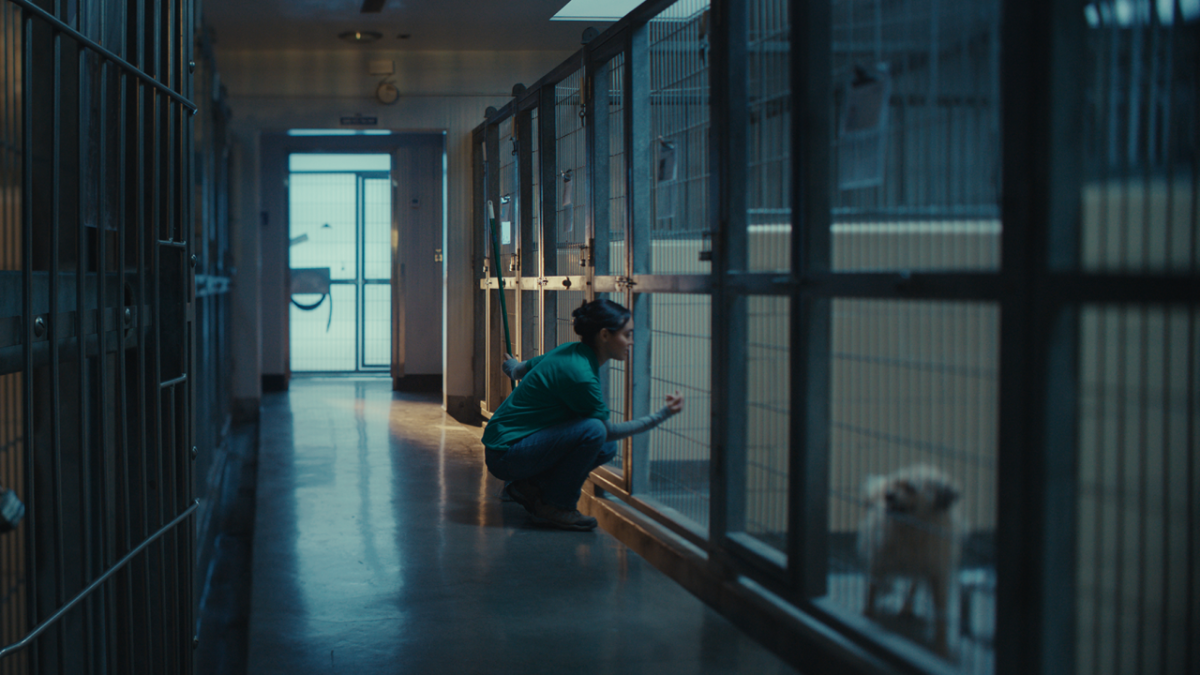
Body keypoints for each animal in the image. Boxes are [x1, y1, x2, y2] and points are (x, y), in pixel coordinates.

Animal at [859, 461, 960, 653]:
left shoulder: (938, 574)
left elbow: (940, 613)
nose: (888, 495)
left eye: (911, 488)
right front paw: (868, 616)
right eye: (896, 483)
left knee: (913, 585)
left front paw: (941, 648)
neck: (910, 531)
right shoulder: (878, 562)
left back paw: (906, 607)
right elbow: (871, 592)